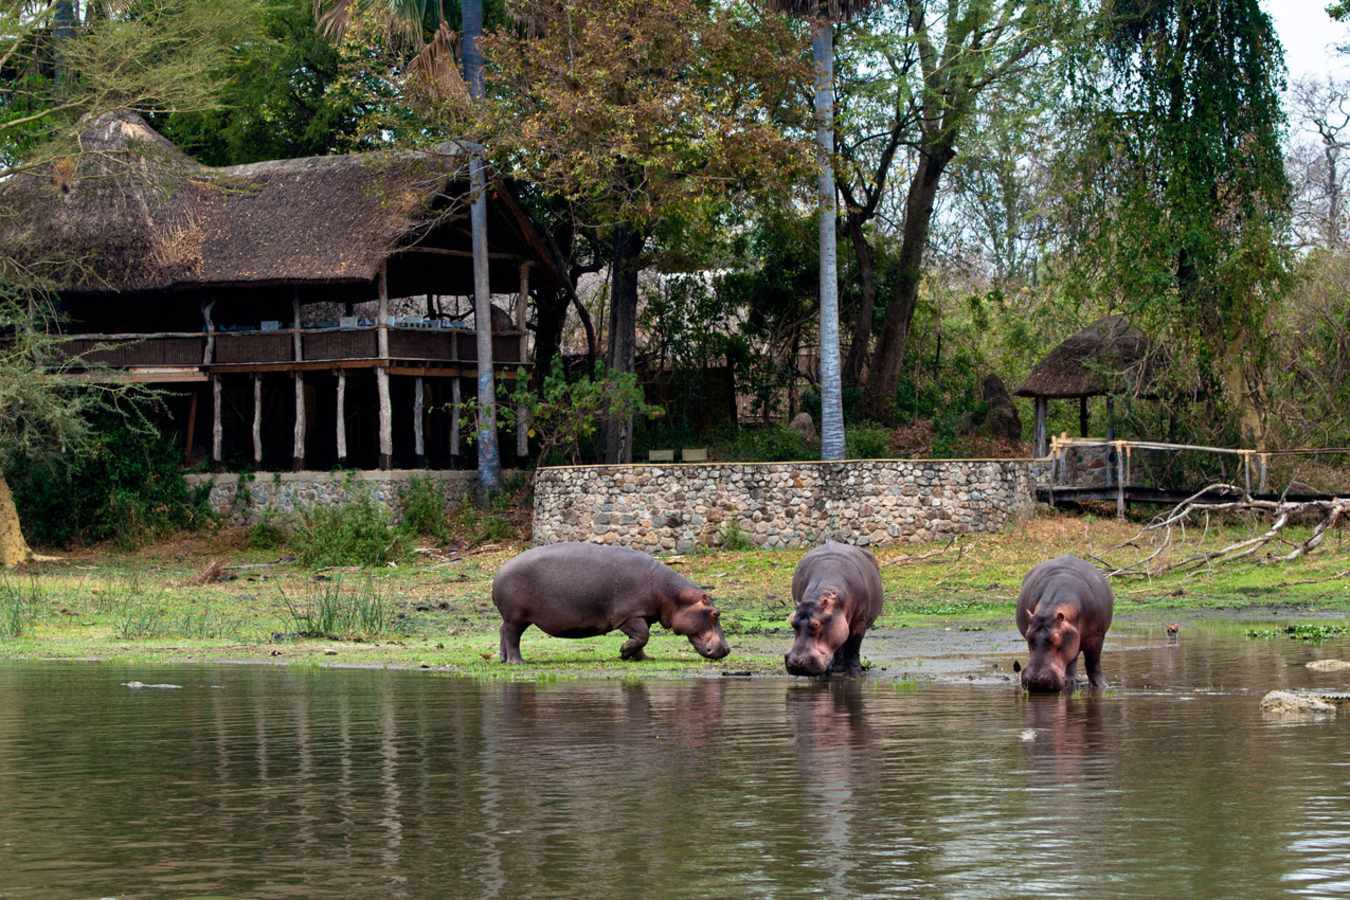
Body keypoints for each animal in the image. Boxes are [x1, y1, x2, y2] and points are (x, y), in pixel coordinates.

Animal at [491, 542, 731, 664]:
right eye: (715, 613)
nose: (727, 649)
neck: (673, 596)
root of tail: (499, 572)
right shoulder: (629, 615)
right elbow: (642, 636)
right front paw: (624, 652)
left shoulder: (644, 615)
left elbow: (642, 639)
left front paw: (642, 658)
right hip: (517, 617)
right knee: (512, 637)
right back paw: (517, 662)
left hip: (513, 618)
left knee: (503, 631)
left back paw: (503, 659)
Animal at [784, 542, 883, 677]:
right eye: (792, 623)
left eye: (816, 624)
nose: (796, 663)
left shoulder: (859, 621)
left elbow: (854, 646)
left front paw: (855, 673)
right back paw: (837, 668)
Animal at [1016, 555, 1114, 692]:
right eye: (1028, 637)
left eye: (1056, 639)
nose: (1036, 681)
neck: (1050, 609)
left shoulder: (1095, 636)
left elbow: (1092, 663)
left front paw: (1100, 686)